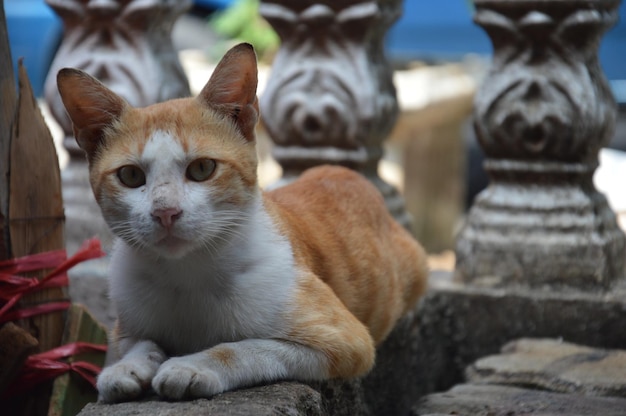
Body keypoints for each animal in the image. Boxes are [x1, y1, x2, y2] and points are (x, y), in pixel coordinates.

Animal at [56, 43, 426, 404]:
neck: (186, 273)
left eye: (202, 169)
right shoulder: (125, 323)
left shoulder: (345, 339)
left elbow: (246, 348)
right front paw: (127, 367)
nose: (165, 212)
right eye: (131, 176)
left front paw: (191, 366)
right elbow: (139, 343)